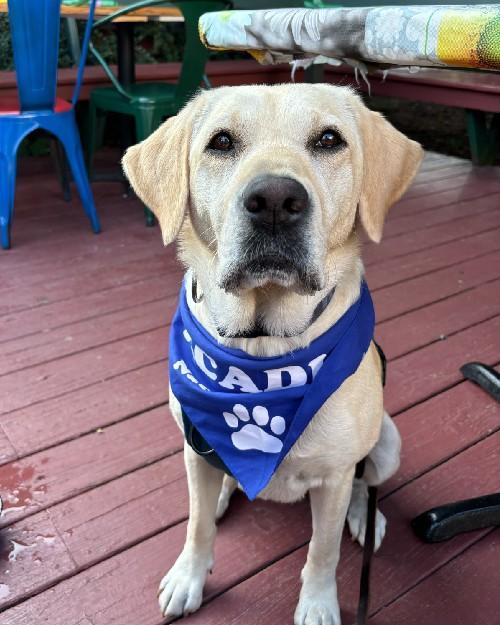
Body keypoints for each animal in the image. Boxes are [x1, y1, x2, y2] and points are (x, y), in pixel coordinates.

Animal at [123, 84, 424, 624]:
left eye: (329, 139)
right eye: (221, 142)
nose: (276, 202)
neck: (262, 344)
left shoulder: (333, 476)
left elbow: (323, 551)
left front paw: (319, 604)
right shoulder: (193, 447)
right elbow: (198, 525)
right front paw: (188, 577)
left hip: (386, 443)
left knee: (365, 484)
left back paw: (366, 517)